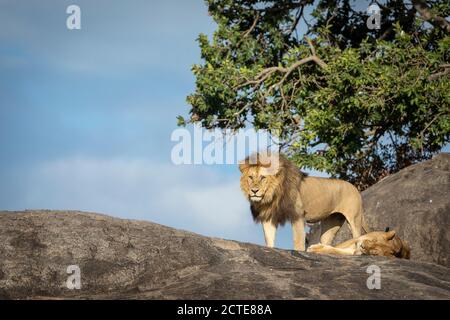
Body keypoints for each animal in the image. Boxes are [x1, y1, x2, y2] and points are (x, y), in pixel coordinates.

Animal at [237, 153, 368, 252]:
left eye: (263, 177)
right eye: (250, 177)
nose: (254, 191)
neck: (271, 195)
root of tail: (354, 187)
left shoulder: (298, 215)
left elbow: (298, 239)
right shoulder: (268, 217)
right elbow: (269, 238)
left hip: (354, 219)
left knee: (357, 238)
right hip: (331, 222)